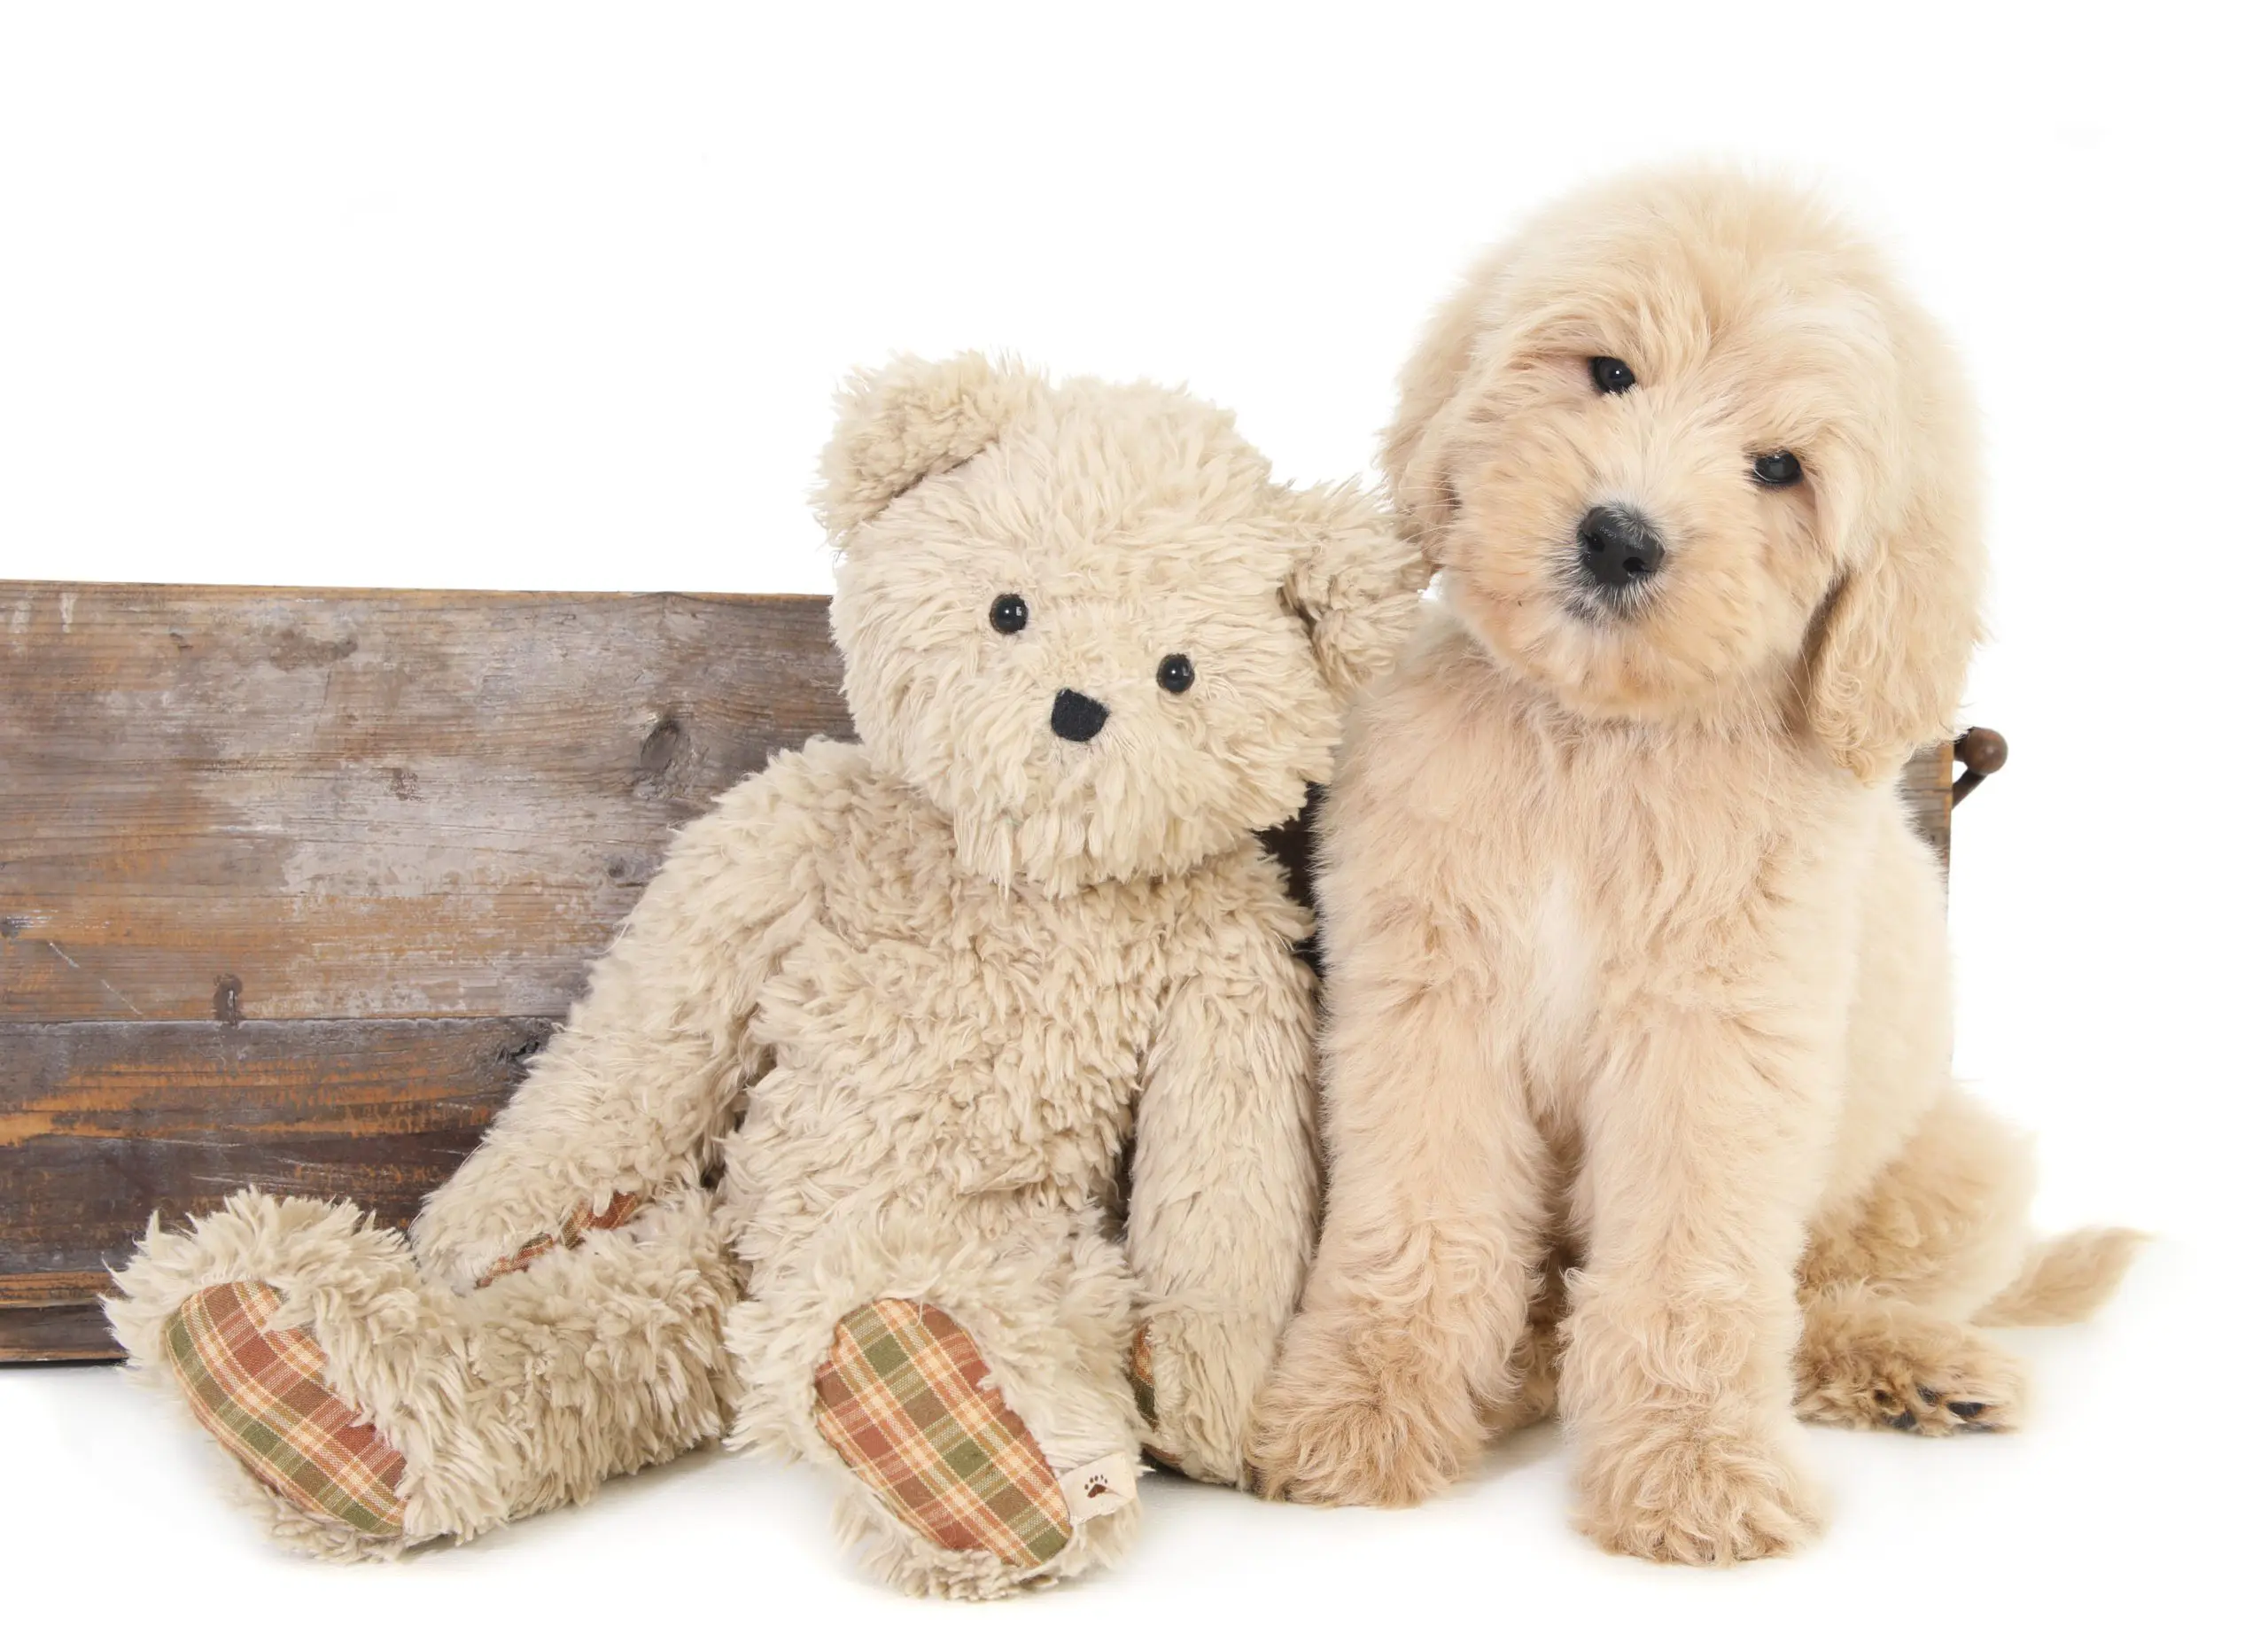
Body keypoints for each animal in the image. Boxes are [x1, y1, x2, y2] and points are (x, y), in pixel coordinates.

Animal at [1252, 172, 2132, 1561]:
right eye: (1610, 371)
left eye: (1780, 469)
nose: (1619, 538)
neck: (1596, 742)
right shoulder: (1430, 1006)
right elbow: (1421, 1223)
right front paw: (1358, 1415)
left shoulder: (1712, 1050)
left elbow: (1691, 1274)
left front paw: (1692, 1473)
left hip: (1963, 1167)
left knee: (1819, 1295)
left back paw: (1919, 1370)